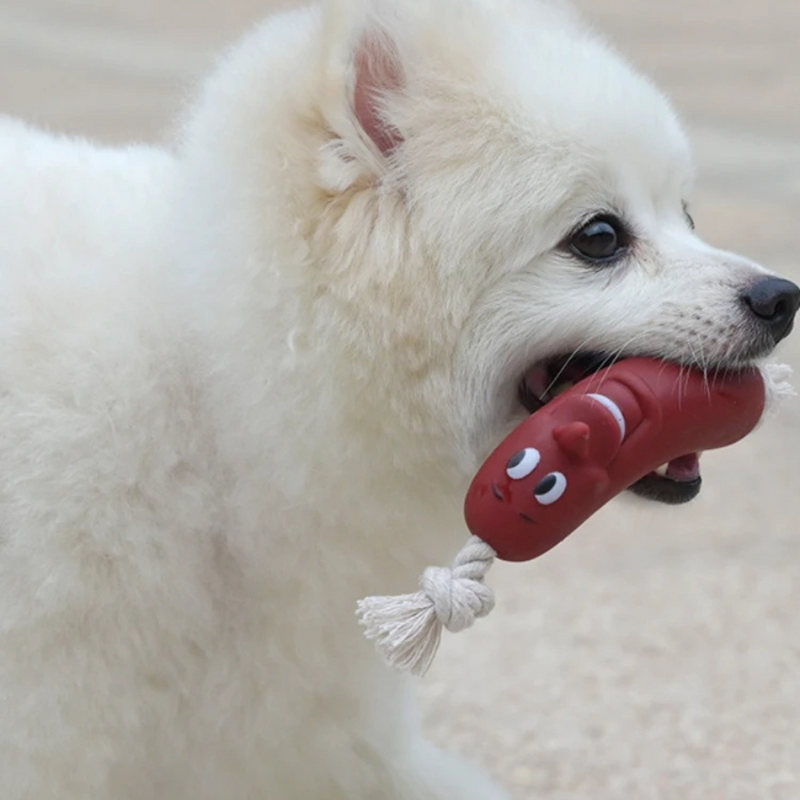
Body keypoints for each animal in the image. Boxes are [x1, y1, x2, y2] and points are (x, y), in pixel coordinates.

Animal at [0, 1, 796, 800]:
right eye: (599, 236)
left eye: (685, 215)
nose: (780, 297)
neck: (219, 404)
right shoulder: (51, 719)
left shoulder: (318, 732)